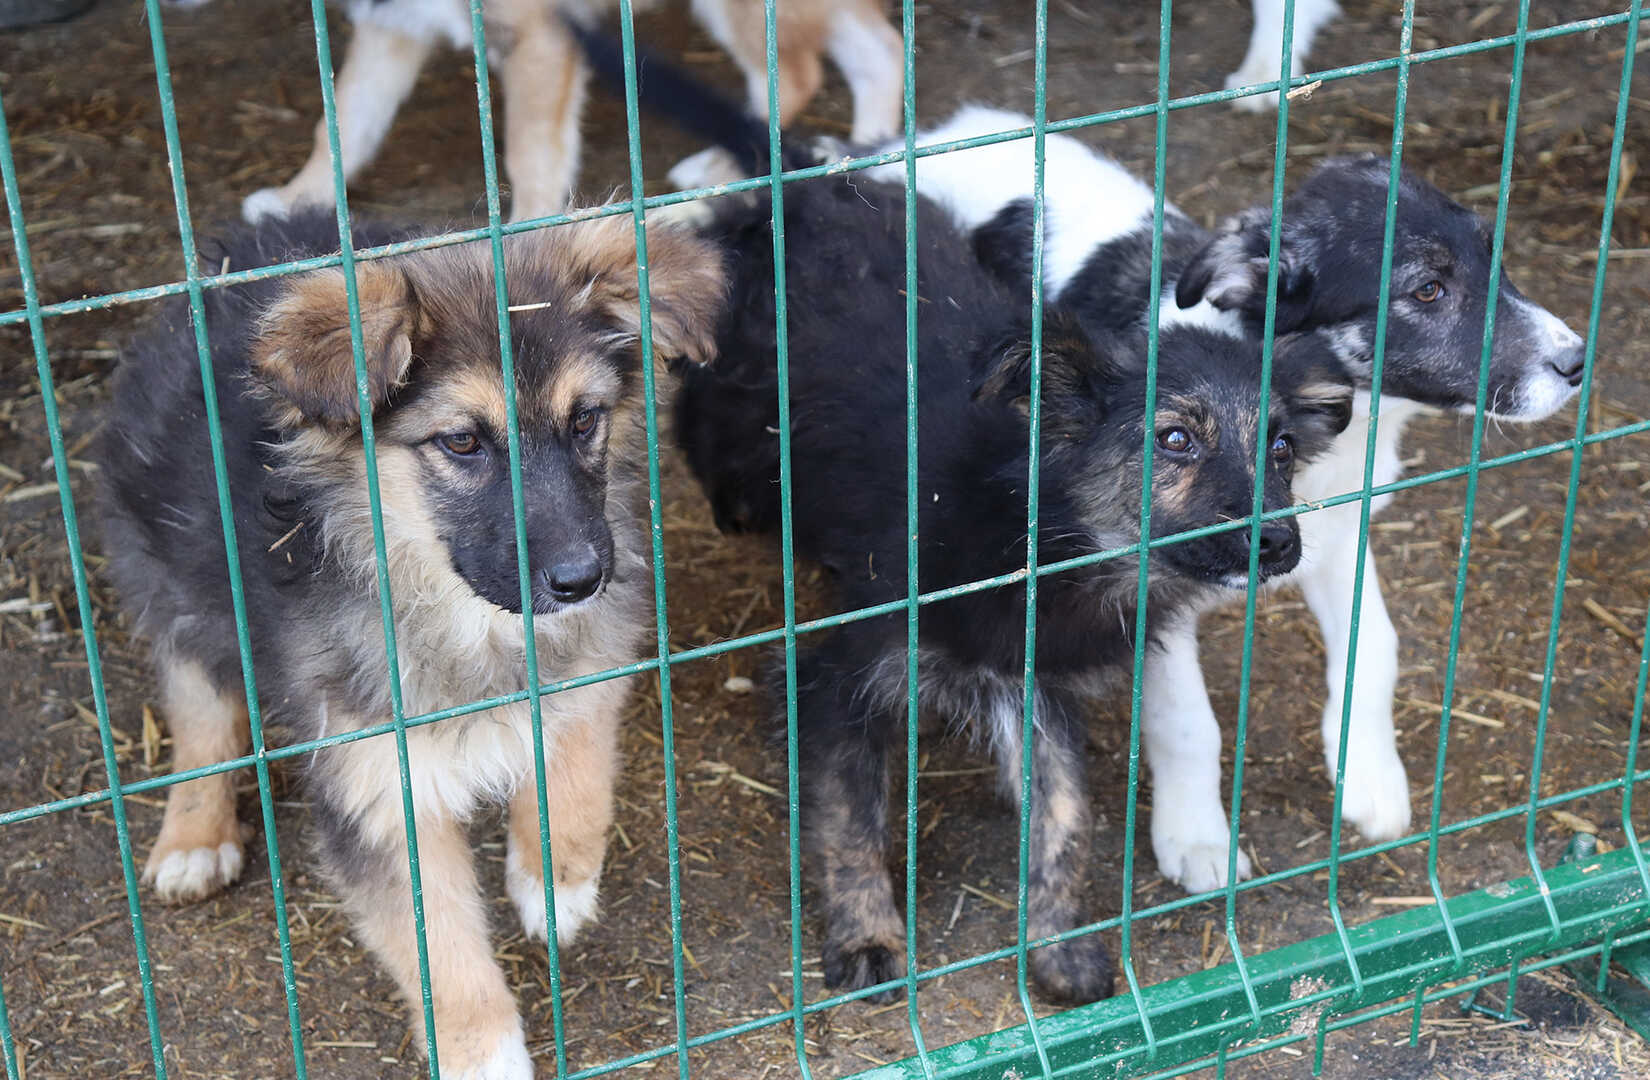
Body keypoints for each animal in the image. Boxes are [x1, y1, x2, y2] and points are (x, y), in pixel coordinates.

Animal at [96, 206, 726, 1075]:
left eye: (585, 420)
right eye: (461, 442)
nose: (581, 578)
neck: (459, 613)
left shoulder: (593, 650)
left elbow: (574, 745)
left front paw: (554, 875)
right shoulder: (378, 785)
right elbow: (442, 946)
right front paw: (484, 1053)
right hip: (173, 570)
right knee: (198, 703)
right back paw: (195, 833)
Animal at [871, 105, 1590, 896]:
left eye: (1498, 259)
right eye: (1428, 289)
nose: (1576, 361)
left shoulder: (1337, 537)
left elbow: (1376, 648)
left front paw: (1369, 775)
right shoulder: (1149, 582)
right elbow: (1189, 721)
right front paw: (1199, 838)